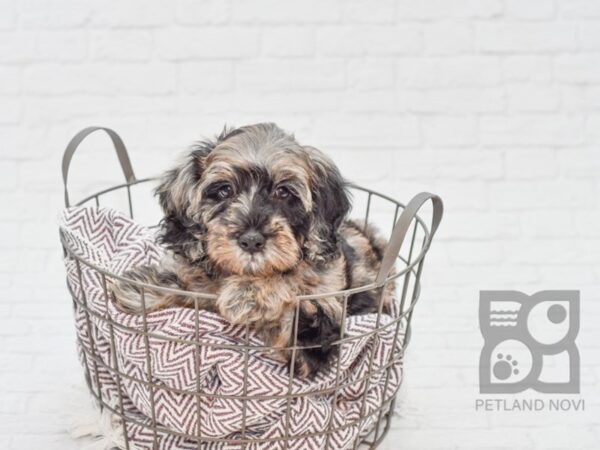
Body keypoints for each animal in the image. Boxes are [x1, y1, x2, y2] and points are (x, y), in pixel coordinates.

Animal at [111, 122, 394, 376]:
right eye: (224, 189)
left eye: (283, 192)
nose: (251, 241)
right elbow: (192, 289)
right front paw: (145, 288)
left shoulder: (323, 312)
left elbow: (292, 284)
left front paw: (250, 293)